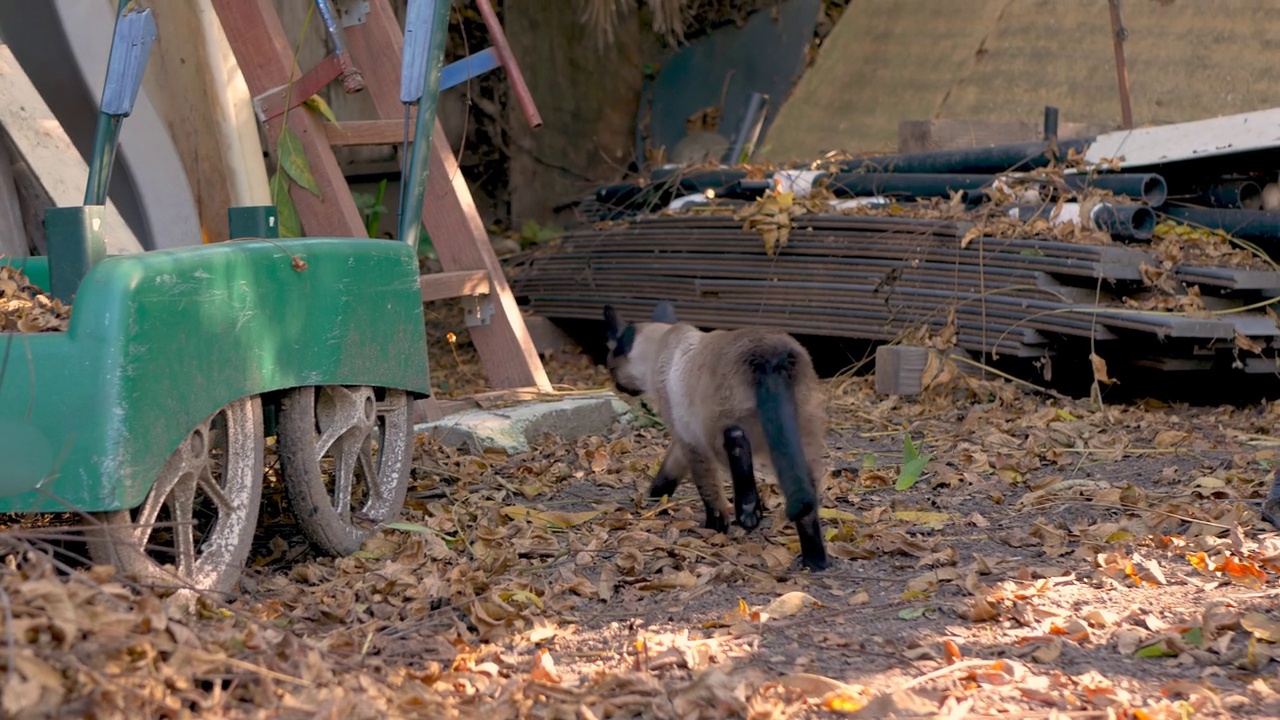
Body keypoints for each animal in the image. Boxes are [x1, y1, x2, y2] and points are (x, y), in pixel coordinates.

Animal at [601, 299, 829, 568]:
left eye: (611, 369)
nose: (618, 386)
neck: (662, 344)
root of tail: (772, 355)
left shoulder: (691, 440)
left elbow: (707, 489)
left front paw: (715, 527)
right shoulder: (685, 439)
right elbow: (668, 473)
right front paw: (654, 499)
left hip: (716, 430)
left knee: (736, 440)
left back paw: (748, 513)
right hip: (800, 438)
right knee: (807, 495)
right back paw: (815, 561)